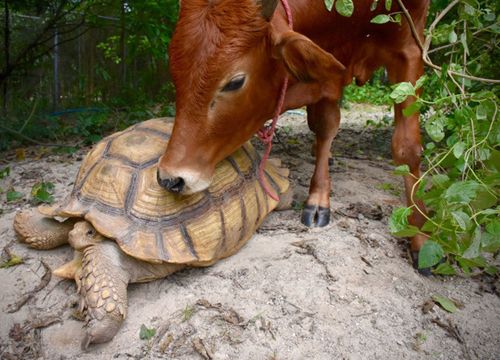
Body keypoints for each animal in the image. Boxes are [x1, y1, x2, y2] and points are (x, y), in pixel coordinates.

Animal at [159, 0, 430, 270]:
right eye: (174, 71)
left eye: (235, 82)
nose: (170, 178)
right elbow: (324, 125)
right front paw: (319, 196)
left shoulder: (410, 46)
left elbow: (407, 148)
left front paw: (421, 235)